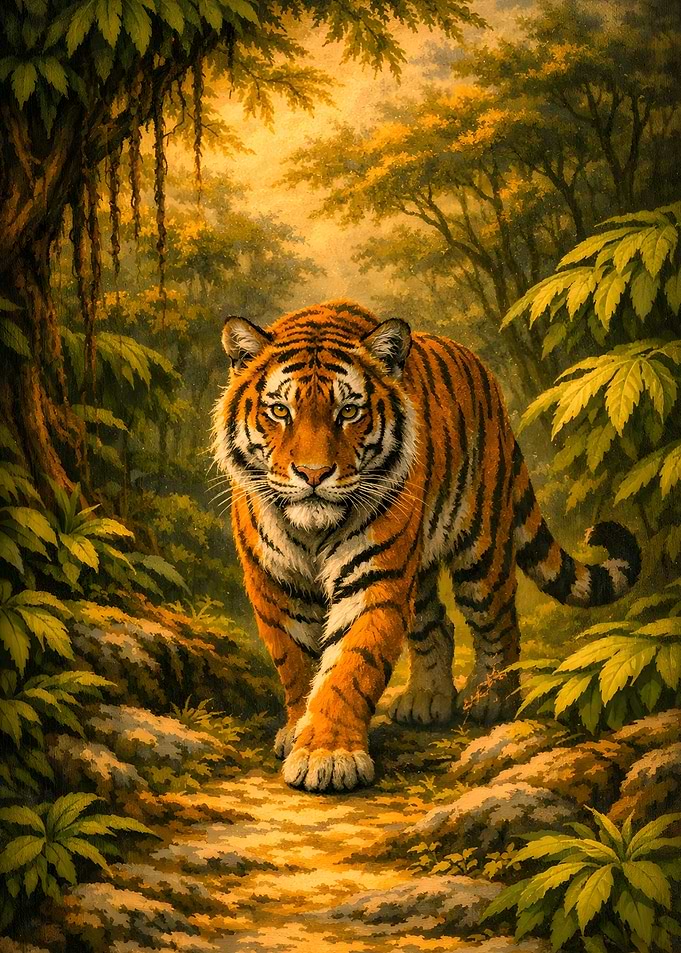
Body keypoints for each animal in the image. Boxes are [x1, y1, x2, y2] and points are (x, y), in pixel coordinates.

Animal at [212, 301, 641, 793]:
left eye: (349, 411)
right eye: (280, 410)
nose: (314, 473)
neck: (313, 530)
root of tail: (490, 384)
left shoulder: (374, 577)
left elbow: (349, 666)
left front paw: (329, 755)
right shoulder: (275, 581)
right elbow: (297, 662)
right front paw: (297, 729)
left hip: (481, 554)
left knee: (500, 624)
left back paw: (492, 700)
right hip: (417, 571)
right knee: (437, 623)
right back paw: (426, 699)